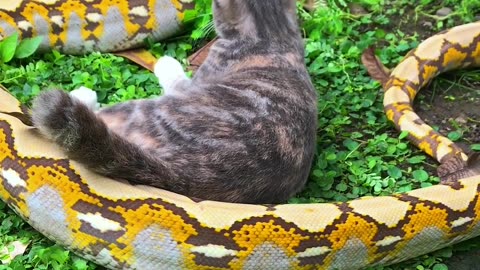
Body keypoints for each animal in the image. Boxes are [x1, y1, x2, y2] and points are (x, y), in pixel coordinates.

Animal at [32, 0, 318, 204]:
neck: (271, 36)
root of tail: (189, 176)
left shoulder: (197, 81)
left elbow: (176, 78)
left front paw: (165, 62)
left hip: (137, 110)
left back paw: (81, 96)